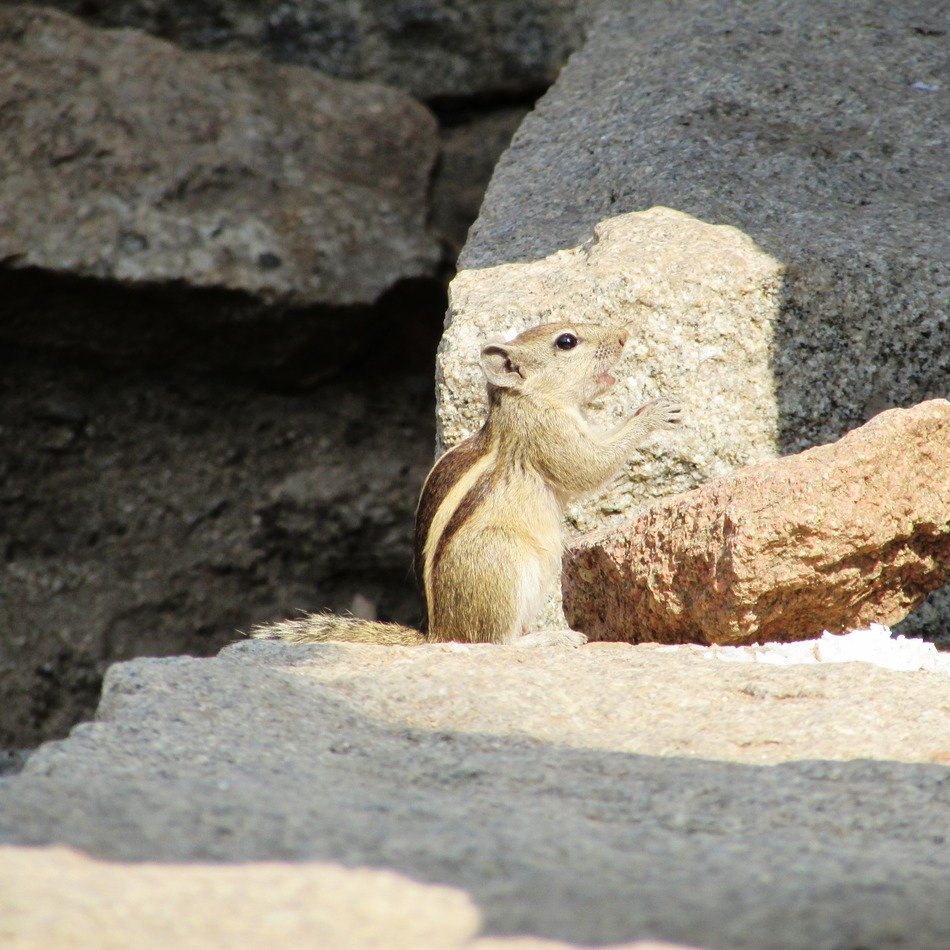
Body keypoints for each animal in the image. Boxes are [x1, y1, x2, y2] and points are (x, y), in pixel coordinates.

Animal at [251, 321, 681, 647]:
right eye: (566, 341)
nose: (624, 335)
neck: (522, 400)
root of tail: (439, 633)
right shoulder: (548, 433)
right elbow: (588, 467)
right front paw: (653, 413)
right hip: (503, 560)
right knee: (494, 640)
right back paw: (551, 638)